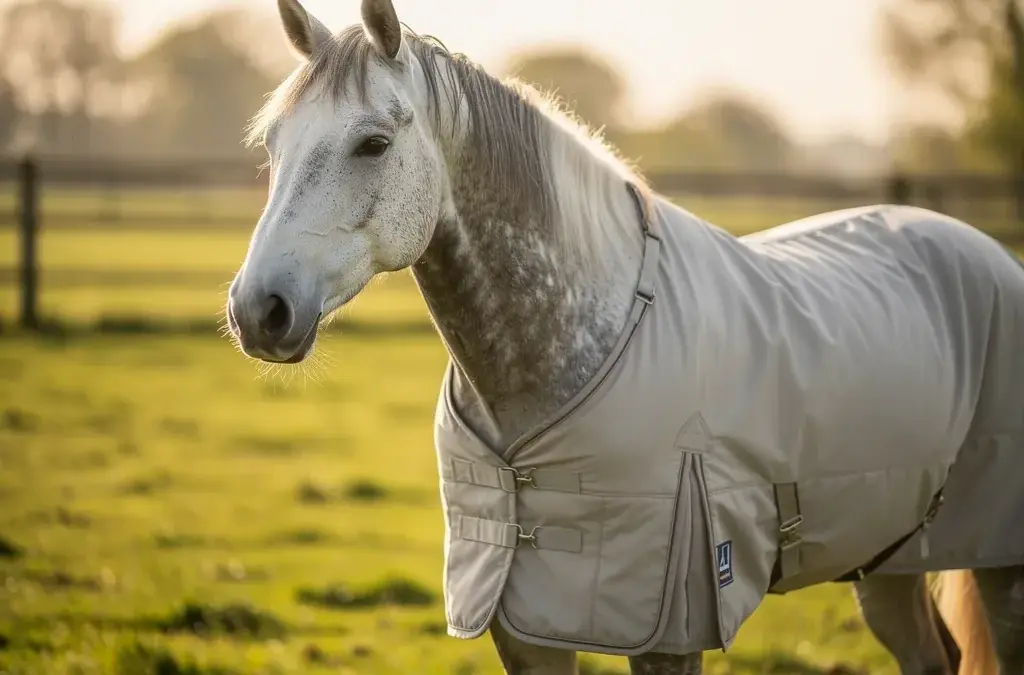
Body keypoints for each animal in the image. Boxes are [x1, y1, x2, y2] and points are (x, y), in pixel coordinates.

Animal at [224, 1, 1024, 673]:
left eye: (373, 143)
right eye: (273, 144)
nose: (258, 310)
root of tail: (986, 254)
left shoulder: (670, 626)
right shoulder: (523, 621)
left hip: (998, 565)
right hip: (883, 557)